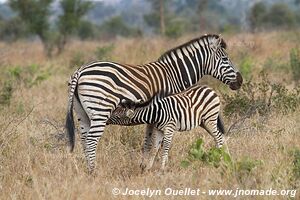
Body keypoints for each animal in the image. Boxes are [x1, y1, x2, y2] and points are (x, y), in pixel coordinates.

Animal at [66, 33, 244, 171]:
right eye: (225, 59)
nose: (240, 81)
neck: (174, 74)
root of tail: (80, 71)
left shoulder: (155, 113)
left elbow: (148, 142)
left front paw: (144, 166)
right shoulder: (166, 107)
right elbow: (159, 142)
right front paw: (160, 165)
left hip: (82, 113)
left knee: (84, 139)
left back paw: (87, 169)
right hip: (101, 111)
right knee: (91, 140)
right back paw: (94, 171)